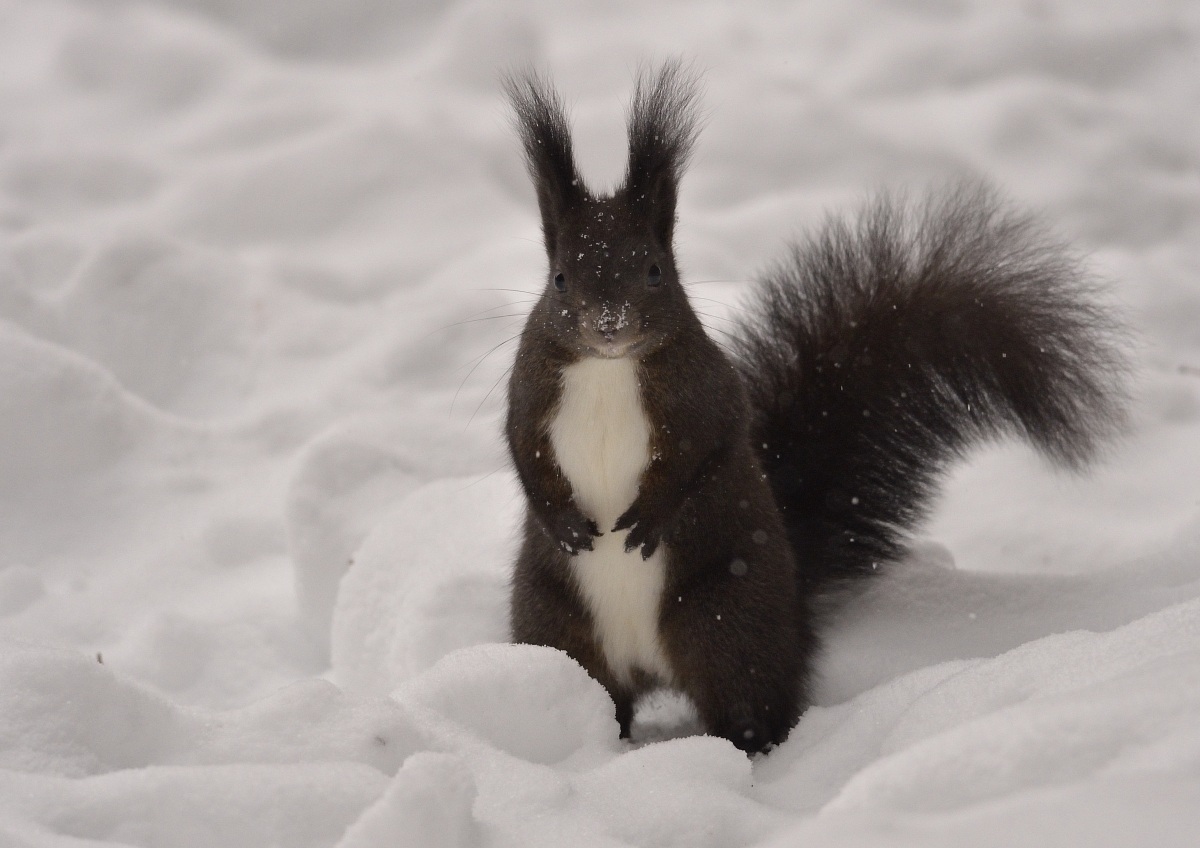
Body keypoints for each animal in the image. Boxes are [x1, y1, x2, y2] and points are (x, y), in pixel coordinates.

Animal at [501, 61, 1127, 754]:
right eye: (560, 278)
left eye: (655, 270)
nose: (608, 324)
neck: (609, 369)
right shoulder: (529, 392)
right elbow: (522, 451)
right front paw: (563, 522)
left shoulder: (706, 394)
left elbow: (706, 448)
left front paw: (650, 515)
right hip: (554, 622)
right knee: (598, 689)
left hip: (726, 620)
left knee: (749, 700)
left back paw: (745, 748)